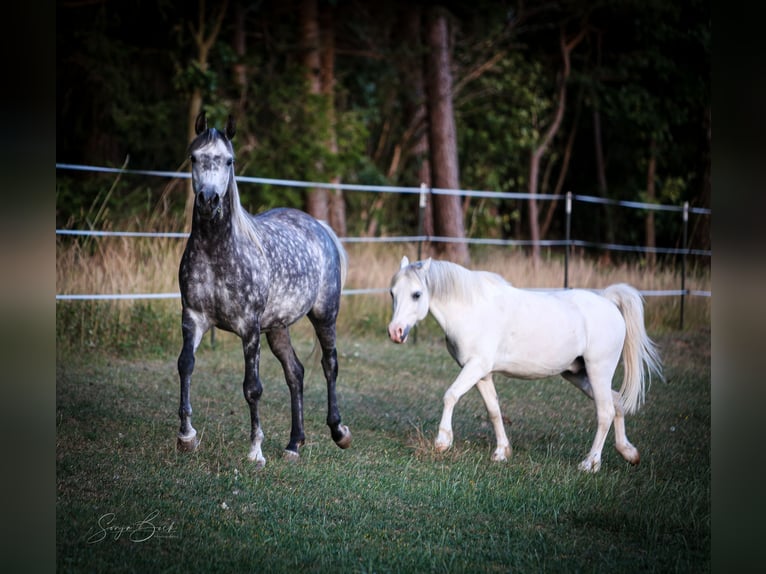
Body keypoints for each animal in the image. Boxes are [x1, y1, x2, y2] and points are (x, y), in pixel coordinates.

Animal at [388, 256, 664, 472]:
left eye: (417, 294)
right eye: (393, 293)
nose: (395, 332)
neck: (472, 309)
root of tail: (607, 300)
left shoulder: (475, 367)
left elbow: (450, 395)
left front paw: (443, 442)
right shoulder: (482, 374)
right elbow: (493, 410)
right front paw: (502, 452)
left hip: (599, 372)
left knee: (605, 412)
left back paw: (590, 464)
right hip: (578, 375)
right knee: (616, 403)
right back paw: (628, 453)